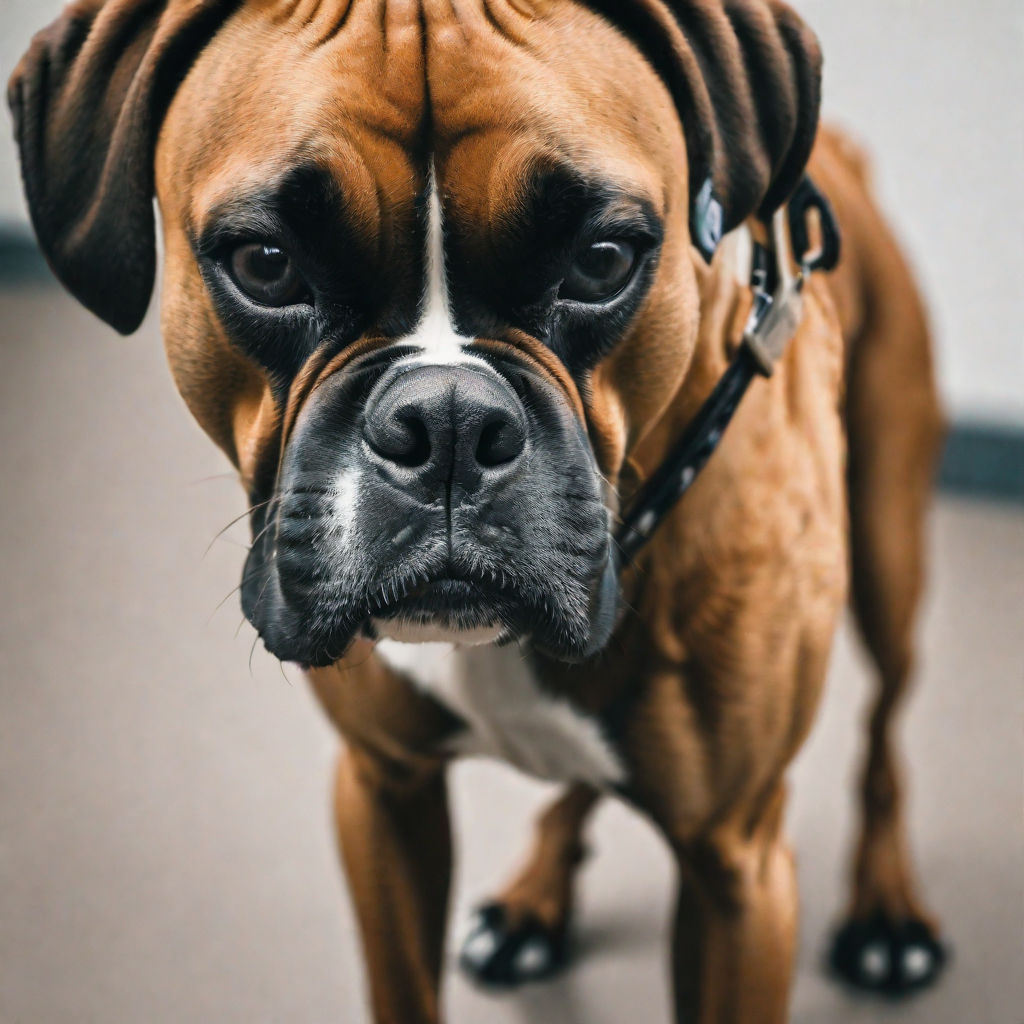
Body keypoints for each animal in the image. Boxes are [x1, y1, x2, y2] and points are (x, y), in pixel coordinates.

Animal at [9, 0, 950, 1019]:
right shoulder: (384, 794)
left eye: (603, 259)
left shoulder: (736, 873)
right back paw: (536, 898)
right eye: (265, 264)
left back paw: (887, 912)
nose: (448, 419)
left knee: (886, 737)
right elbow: (406, 984)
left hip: (890, 561)